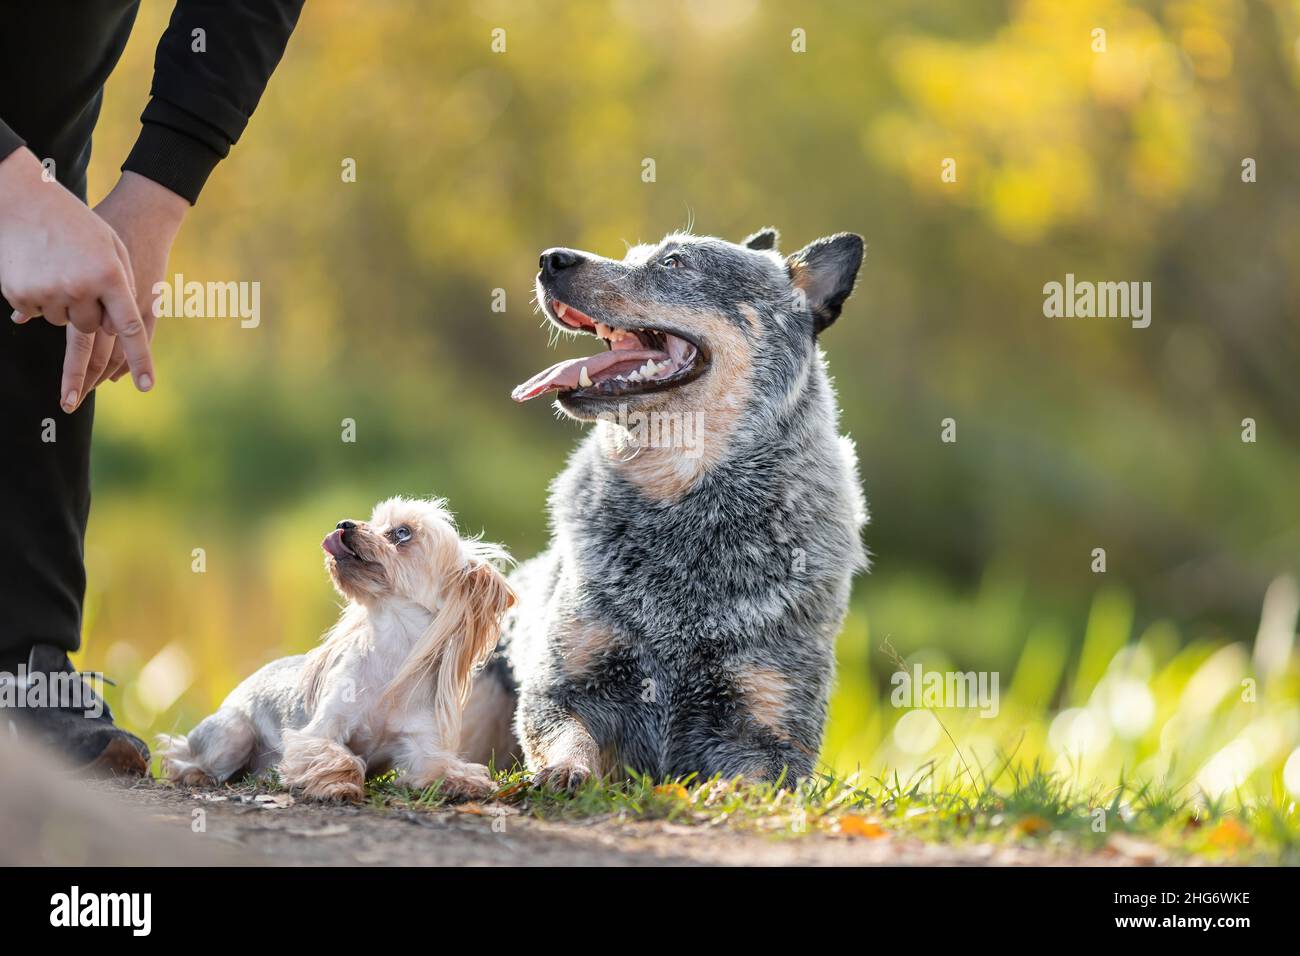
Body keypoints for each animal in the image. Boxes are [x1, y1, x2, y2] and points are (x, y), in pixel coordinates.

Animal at [158, 496, 512, 806]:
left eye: (402, 532)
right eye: (375, 521)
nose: (343, 524)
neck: (391, 652)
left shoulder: (419, 742)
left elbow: (437, 765)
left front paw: (466, 781)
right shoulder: (320, 730)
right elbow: (337, 755)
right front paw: (337, 785)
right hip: (234, 732)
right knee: (185, 755)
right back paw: (196, 774)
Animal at [462, 227, 868, 790]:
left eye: (674, 262)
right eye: (634, 257)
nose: (550, 259)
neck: (684, 511)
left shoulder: (774, 729)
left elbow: (751, 779)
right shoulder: (563, 687)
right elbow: (569, 735)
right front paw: (567, 770)